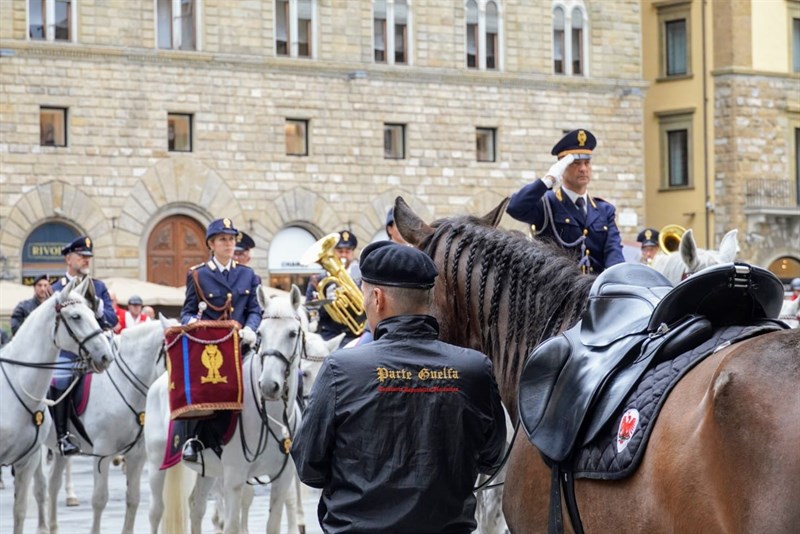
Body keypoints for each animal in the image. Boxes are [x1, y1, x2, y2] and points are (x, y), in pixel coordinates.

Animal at [44, 318, 176, 534]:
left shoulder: (137, 454)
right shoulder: (103, 450)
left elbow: (133, 499)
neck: (126, 385)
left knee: (53, 483)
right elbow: (99, 499)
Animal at [144, 286, 306, 534]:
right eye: (261, 334)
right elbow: (232, 526)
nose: (269, 385)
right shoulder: (235, 479)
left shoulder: (282, 479)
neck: (271, 417)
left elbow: (272, 525)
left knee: (196, 506)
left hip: (207, 470)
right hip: (155, 464)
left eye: (292, 333)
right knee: (155, 512)